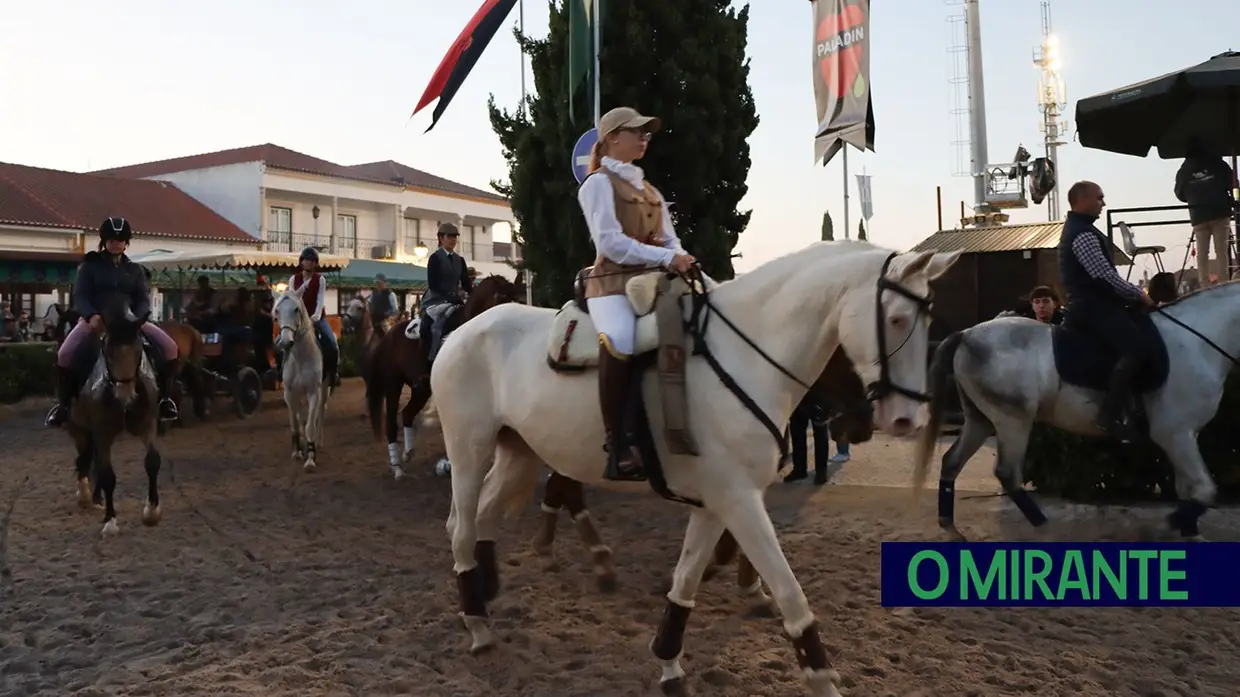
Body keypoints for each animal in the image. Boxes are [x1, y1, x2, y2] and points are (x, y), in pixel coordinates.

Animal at [65, 296, 165, 537]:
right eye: (108, 353)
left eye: (139, 350)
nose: (125, 396)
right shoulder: (102, 431)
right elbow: (108, 475)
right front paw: (110, 522)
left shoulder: (147, 423)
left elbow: (152, 461)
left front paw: (152, 511)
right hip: (79, 429)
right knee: (84, 460)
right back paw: (85, 494)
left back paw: (95, 497)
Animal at [273, 286, 330, 472]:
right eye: (277, 311)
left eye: (296, 309)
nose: (285, 342)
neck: (300, 357)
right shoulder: (289, 393)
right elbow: (295, 424)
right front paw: (297, 452)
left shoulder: (313, 392)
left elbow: (310, 425)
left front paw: (310, 458)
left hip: (324, 389)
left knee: (320, 412)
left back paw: (318, 442)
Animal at [364, 274, 518, 479]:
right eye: (502, 299)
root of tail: (388, 335)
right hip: (393, 385)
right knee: (391, 422)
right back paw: (397, 467)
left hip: (421, 390)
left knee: (407, 413)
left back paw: (408, 453)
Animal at [532, 346, 876, 604]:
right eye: (838, 359)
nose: (863, 424)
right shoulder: (730, 484)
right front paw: (724, 572)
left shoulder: (739, 484)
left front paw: (747, 584)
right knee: (562, 488)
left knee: (561, 489)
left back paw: (579, 559)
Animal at [913, 281, 1240, 543]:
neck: (1197, 344)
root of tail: (967, 334)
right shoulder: (1175, 434)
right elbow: (1204, 490)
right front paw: (1167, 526)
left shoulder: (1185, 435)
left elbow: (1189, 490)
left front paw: (1189, 533)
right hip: (1012, 420)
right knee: (1007, 473)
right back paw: (1046, 529)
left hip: (980, 420)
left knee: (952, 462)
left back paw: (951, 528)